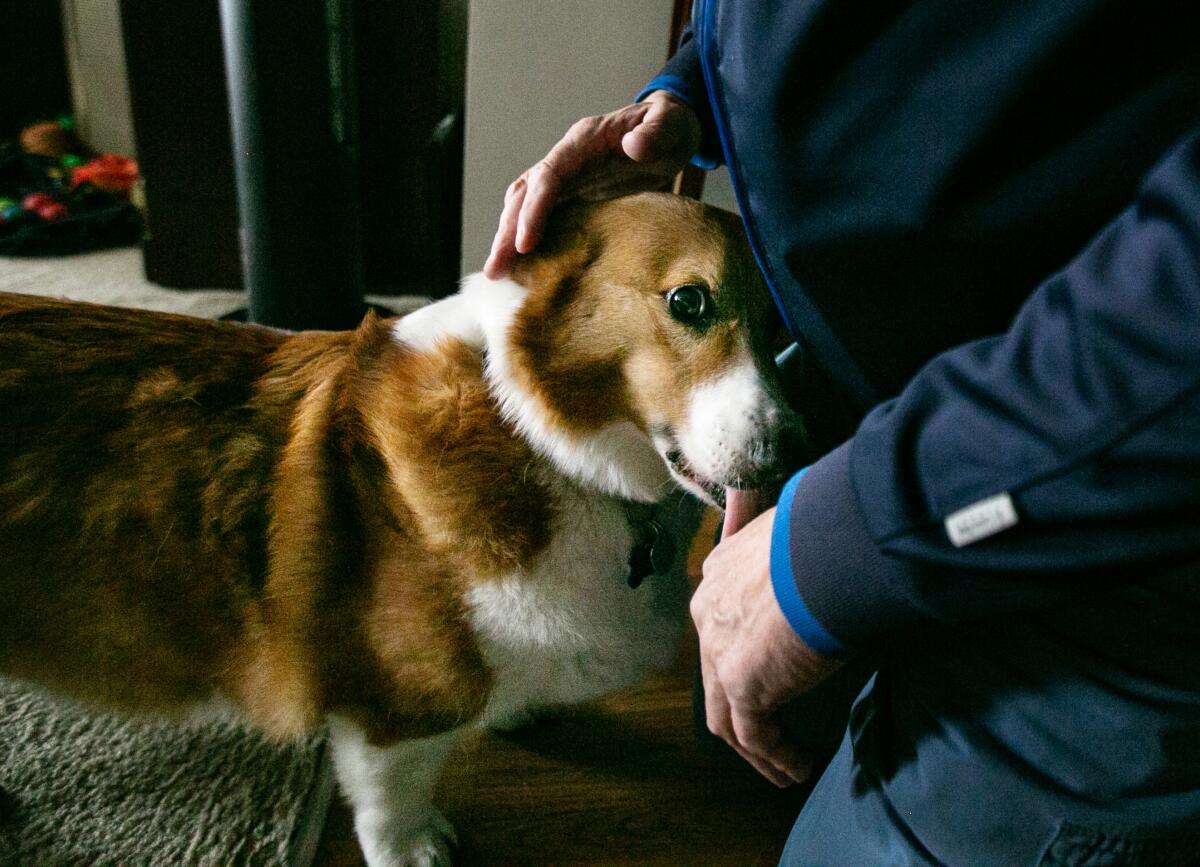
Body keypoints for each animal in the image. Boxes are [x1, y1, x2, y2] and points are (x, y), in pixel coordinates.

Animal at [2, 192, 806, 859]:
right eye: (689, 301)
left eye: (780, 329)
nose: (792, 450)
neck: (538, 439)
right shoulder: (389, 713)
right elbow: (393, 797)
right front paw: (414, 849)